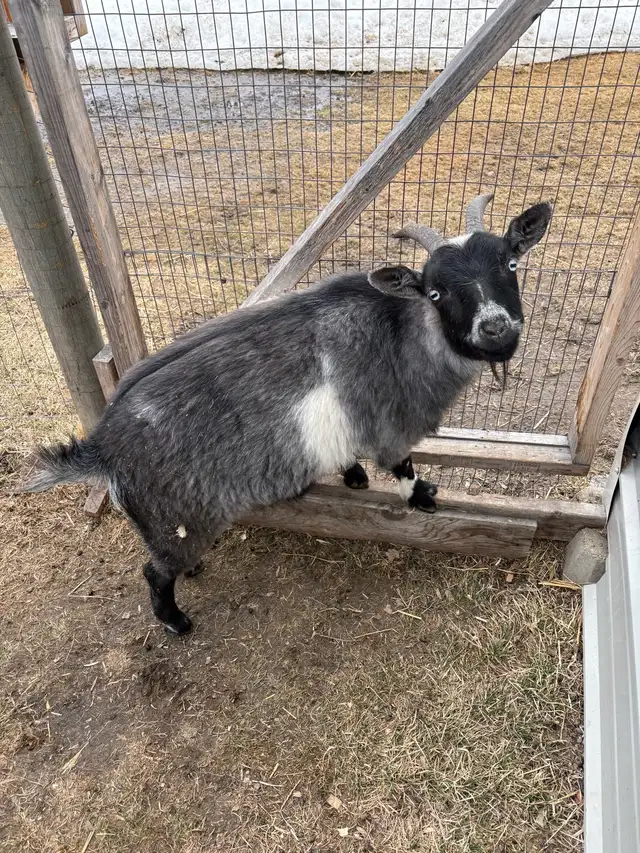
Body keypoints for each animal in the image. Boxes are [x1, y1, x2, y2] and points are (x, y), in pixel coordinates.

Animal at [25, 194, 552, 635]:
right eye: (436, 293)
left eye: (510, 262)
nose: (495, 329)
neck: (404, 330)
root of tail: (102, 448)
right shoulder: (392, 423)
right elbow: (402, 466)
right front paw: (421, 496)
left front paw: (353, 476)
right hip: (179, 520)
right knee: (154, 571)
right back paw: (176, 621)